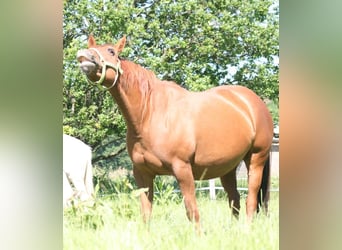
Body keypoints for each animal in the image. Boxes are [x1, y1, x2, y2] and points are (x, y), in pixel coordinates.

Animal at [76, 35, 274, 229]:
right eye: (91, 47)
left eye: (111, 51)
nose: (84, 55)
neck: (149, 114)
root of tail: (255, 102)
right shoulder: (142, 173)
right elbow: (146, 212)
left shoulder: (182, 169)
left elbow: (191, 210)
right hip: (227, 167)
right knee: (235, 199)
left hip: (255, 158)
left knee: (251, 199)